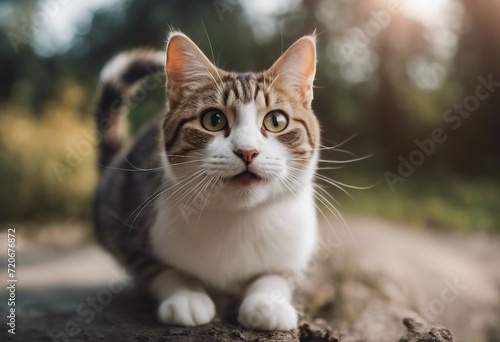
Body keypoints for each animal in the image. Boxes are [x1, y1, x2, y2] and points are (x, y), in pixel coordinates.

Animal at [93, 31, 320, 332]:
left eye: (276, 121)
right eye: (213, 120)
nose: (247, 151)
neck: (238, 218)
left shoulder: (298, 244)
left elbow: (278, 274)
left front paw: (267, 302)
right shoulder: (133, 223)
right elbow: (159, 268)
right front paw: (186, 295)